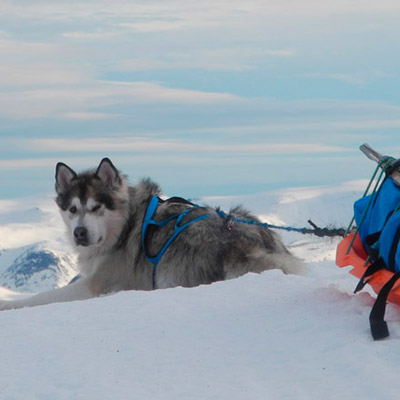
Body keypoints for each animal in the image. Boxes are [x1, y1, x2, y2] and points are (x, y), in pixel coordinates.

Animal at [0, 157, 302, 310]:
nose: (80, 233)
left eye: (96, 207)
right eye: (72, 209)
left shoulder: (99, 283)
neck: (124, 226)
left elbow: (41, 298)